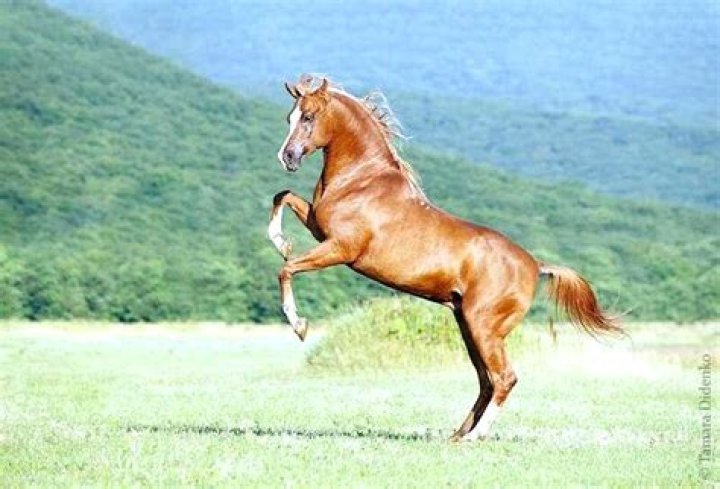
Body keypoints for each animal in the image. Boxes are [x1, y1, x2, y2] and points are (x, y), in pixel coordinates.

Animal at [267, 74, 623, 442]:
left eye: (309, 117)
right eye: (290, 117)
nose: (287, 157)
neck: (361, 181)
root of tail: (535, 265)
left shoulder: (340, 248)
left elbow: (286, 269)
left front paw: (299, 325)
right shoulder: (319, 229)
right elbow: (283, 197)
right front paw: (281, 241)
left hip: (484, 327)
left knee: (504, 378)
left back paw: (474, 437)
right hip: (468, 325)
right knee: (486, 380)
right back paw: (457, 435)